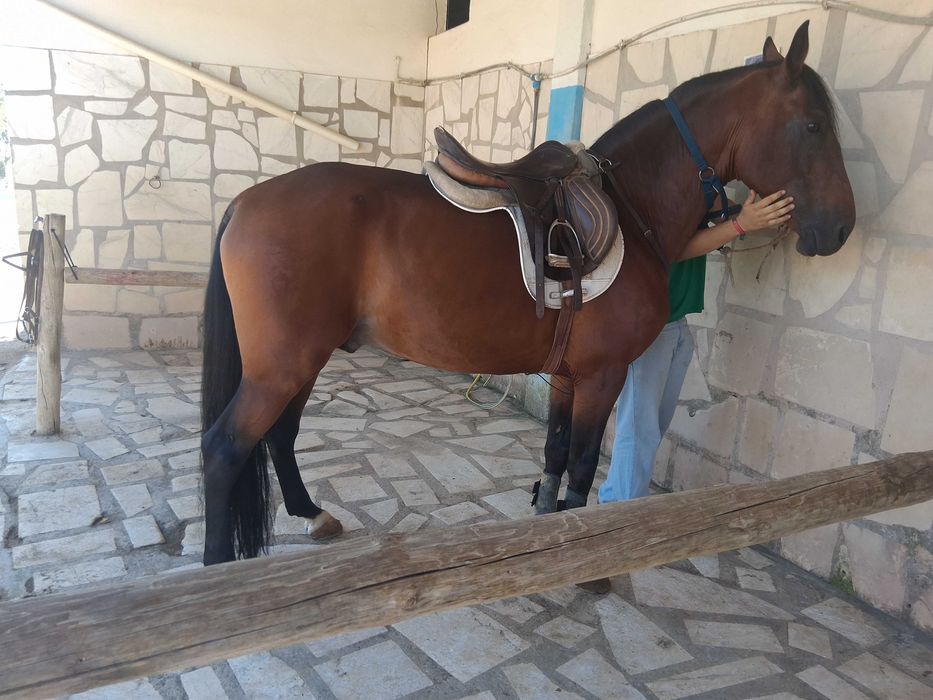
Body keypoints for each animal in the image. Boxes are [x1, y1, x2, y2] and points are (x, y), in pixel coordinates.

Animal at [200, 21, 855, 565]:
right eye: (814, 125)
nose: (841, 226)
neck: (632, 208)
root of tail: (245, 201)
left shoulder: (567, 376)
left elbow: (556, 455)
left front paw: (545, 531)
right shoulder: (603, 376)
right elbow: (585, 463)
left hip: (303, 360)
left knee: (279, 436)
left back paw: (312, 515)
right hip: (283, 365)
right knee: (225, 449)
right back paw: (216, 567)